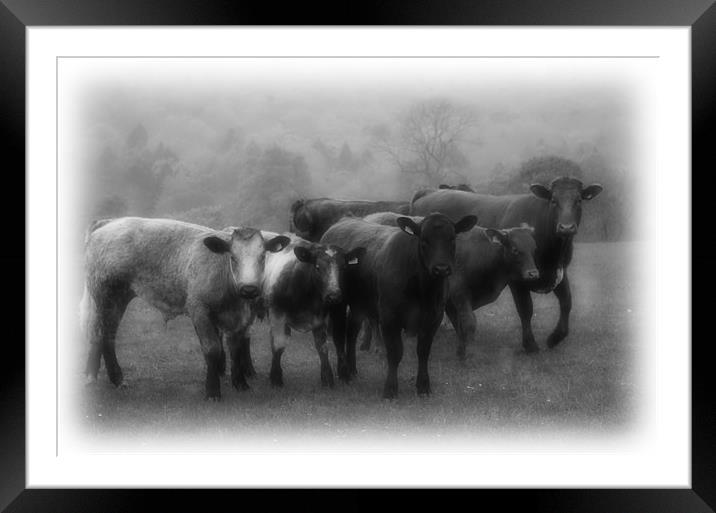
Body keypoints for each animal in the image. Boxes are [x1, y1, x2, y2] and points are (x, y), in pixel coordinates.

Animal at [79, 216, 290, 400]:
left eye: (262, 257)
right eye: (233, 257)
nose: (248, 289)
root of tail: (109, 222)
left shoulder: (241, 318)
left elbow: (236, 349)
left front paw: (240, 384)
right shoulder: (199, 310)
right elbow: (212, 349)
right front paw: (212, 390)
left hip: (118, 299)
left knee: (103, 335)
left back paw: (104, 377)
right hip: (105, 296)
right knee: (102, 334)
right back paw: (107, 378)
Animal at [258, 230, 366, 386]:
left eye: (344, 267)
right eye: (317, 267)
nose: (333, 295)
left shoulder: (323, 318)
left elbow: (323, 347)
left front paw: (328, 378)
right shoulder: (276, 313)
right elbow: (278, 345)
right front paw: (276, 377)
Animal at [322, 210, 478, 398]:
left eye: (453, 239)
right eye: (424, 240)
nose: (441, 268)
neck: (422, 289)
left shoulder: (434, 317)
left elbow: (423, 351)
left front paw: (423, 386)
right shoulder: (389, 317)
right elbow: (395, 352)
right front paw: (390, 389)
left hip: (359, 305)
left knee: (352, 332)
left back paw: (353, 370)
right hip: (338, 302)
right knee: (341, 334)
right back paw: (345, 373)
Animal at [408, 176, 604, 352]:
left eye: (579, 200)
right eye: (554, 201)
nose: (566, 227)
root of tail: (428, 193)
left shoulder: (559, 272)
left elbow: (566, 303)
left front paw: (555, 338)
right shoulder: (517, 280)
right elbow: (526, 309)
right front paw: (530, 344)